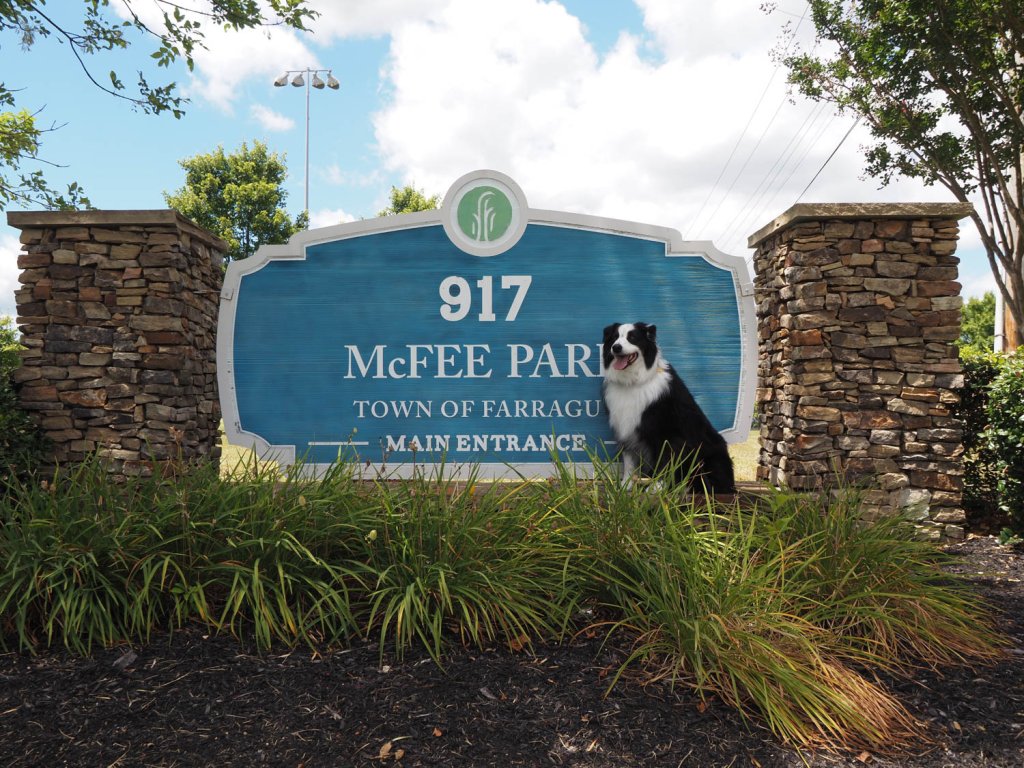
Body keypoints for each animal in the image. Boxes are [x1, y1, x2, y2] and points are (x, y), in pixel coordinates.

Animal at [598, 321, 737, 495]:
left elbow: (665, 460)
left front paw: (656, 487)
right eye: (614, 337)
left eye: (632, 337)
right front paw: (626, 485)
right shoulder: (625, 427)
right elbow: (629, 460)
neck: (633, 382)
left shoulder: (668, 433)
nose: (616, 347)